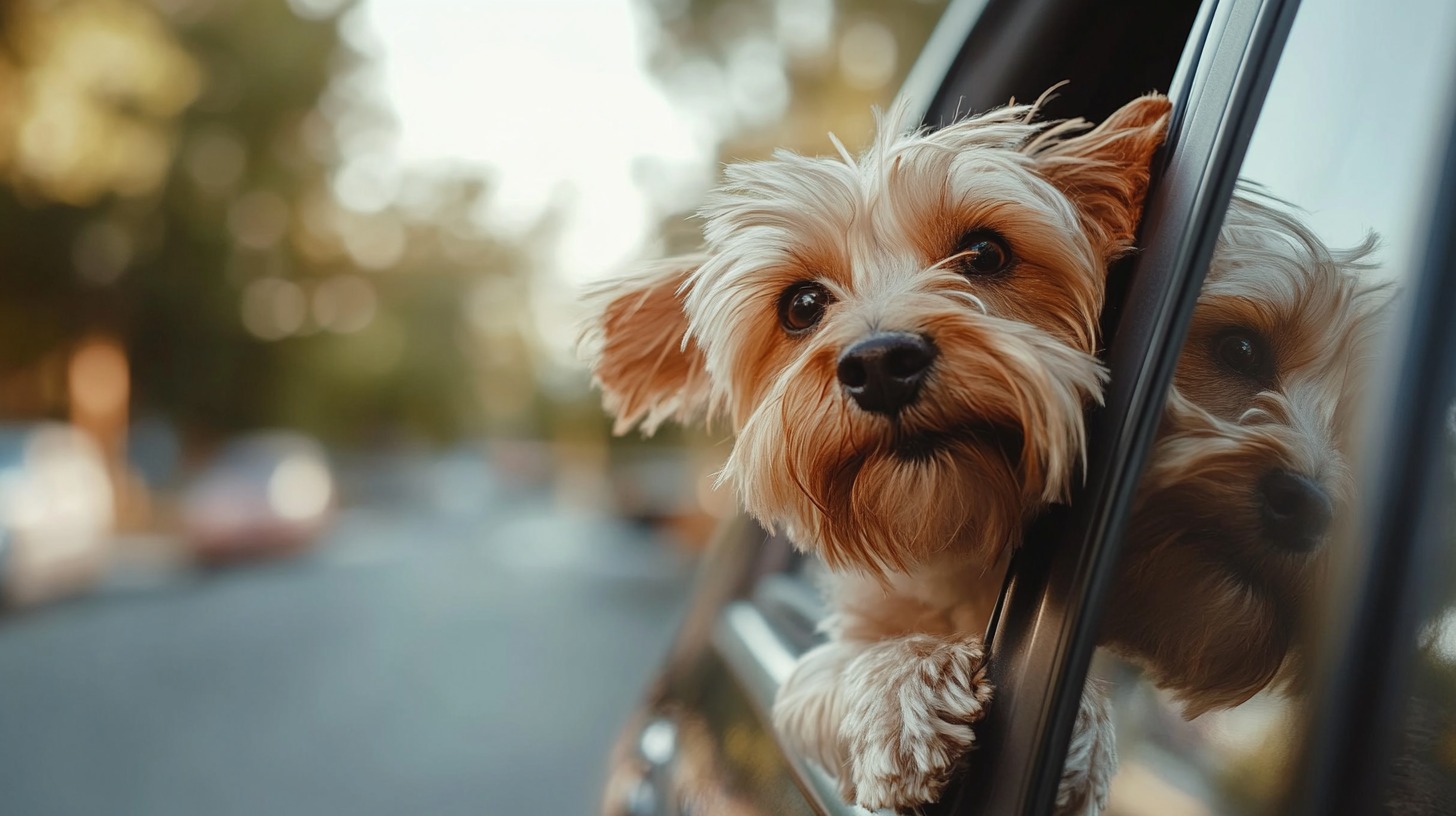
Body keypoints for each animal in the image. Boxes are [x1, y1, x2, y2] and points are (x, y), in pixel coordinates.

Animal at [585, 93, 1164, 810]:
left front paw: (1080, 732)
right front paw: (905, 696)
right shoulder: (829, 656)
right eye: (803, 303)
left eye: (985, 252)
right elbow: (831, 673)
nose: (882, 363)